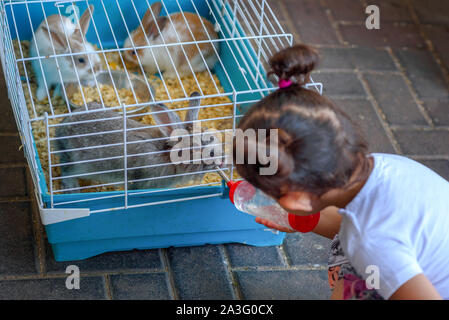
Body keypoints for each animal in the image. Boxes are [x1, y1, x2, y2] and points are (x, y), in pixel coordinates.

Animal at [54, 92, 219, 192]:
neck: (167, 155)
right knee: (66, 171)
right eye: (200, 149)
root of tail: (60, 129)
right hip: (77, 163)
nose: (222, 161)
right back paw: (72, 188)